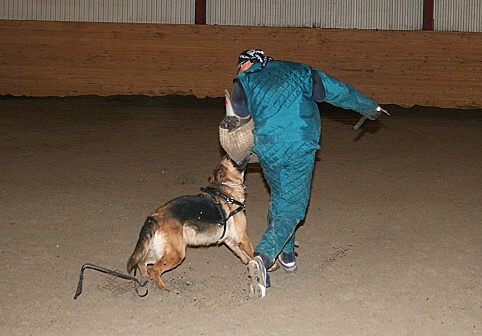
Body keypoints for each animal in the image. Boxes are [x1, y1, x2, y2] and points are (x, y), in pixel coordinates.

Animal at [126, 155, 254, 288]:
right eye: (229, 157)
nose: (250, 152)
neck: (226, 191)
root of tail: (154, 217)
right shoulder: (242, 237)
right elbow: (253, 253)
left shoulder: (229, 239)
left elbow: (240, 252)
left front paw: (247, 262)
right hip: (176, 254)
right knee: (154, 270)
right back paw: (164, 289)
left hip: (160, 252)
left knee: (142, 262)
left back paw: (145, 281)